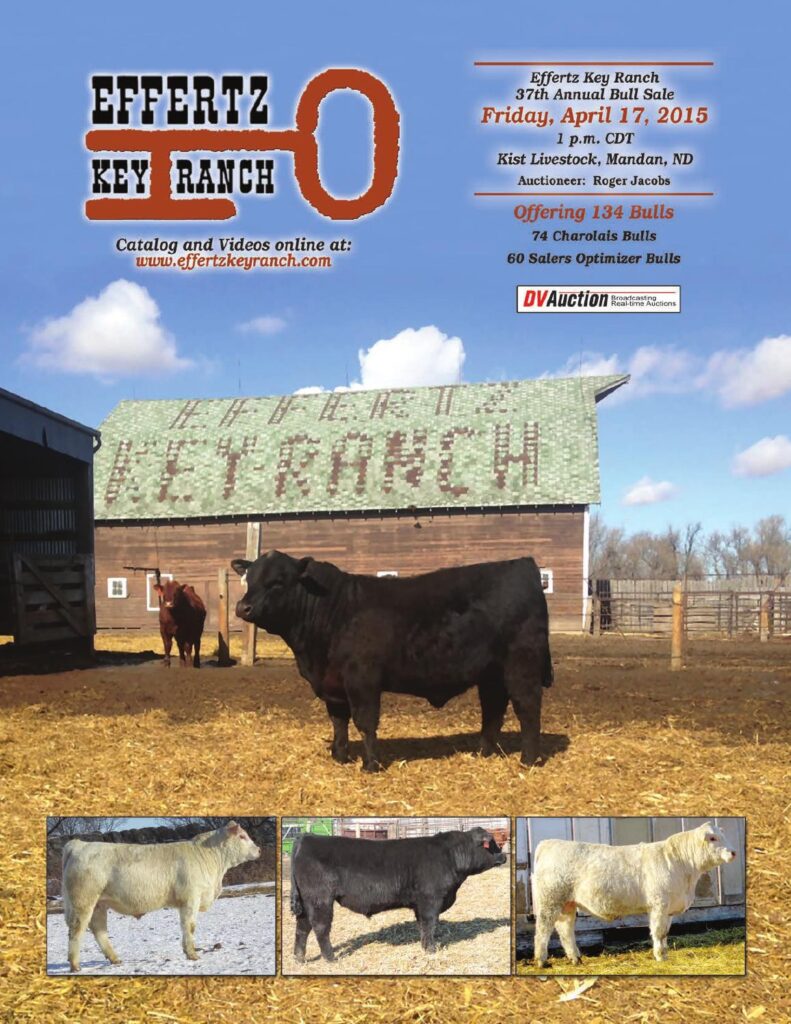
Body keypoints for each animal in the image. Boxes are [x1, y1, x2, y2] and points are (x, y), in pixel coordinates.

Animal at [61, 821, 260, 972]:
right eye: (242, 836)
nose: (259, 850)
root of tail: (80, 844)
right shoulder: (191, 898)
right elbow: (190, 926)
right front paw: (192, 954)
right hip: (83, 901)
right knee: (76, 930)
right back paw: (75, 965)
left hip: (99, 904)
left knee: (99, 930)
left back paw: (115, 959)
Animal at [231, 551, 552, 770]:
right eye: (248, 580)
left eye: (277, 582)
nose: (242, 607)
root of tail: (523, 563)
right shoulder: (333, 685)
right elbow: (338, 722)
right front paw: (340, 757)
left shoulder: (362, 680)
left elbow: (365, 721)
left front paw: (371, 765)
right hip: (491, 673)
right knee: (493, 710)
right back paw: (482, 753)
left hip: (521, 665)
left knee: (527, 708)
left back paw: (529, 760)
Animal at [289, 827, 507, 961]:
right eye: (492, 844)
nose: (504, 856)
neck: (451, 856)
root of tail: (307, 837)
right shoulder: (431, 899)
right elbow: (430, 924)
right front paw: (431, 949)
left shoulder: (420, 904)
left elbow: (422, 926)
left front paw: (424, 946)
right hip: (320, 899)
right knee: (320, 927)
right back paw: (331, 958)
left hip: (306, 902)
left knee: (302, 928)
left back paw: (299, 958)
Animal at [531, 823, 738, 966]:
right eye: (713, 838)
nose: (733, 852)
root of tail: (548, 843)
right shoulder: (658, 904)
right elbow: (658, 932)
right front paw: (659, 957)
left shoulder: (669, 908)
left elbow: (665, 933)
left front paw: (665, 955)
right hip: (550, 900)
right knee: (542, 929)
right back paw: (541, 961)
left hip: (567, 903)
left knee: (565, 929)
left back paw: (575, 958)